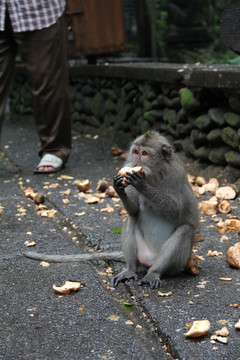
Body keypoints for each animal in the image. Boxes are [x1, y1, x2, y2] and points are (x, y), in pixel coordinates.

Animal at [23, 131, 199, 288]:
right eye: (136, 152)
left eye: (145, 153)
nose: (135, 164)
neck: (154, 175)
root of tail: (148, 261)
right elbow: (134, 210)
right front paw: (119, 187)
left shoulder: (176, 174)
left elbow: (176, 210)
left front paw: (141, 184)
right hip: (141, 254)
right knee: (131, 219)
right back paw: (130, 269)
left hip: (176, 264)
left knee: (184, 230)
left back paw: (154, 273)